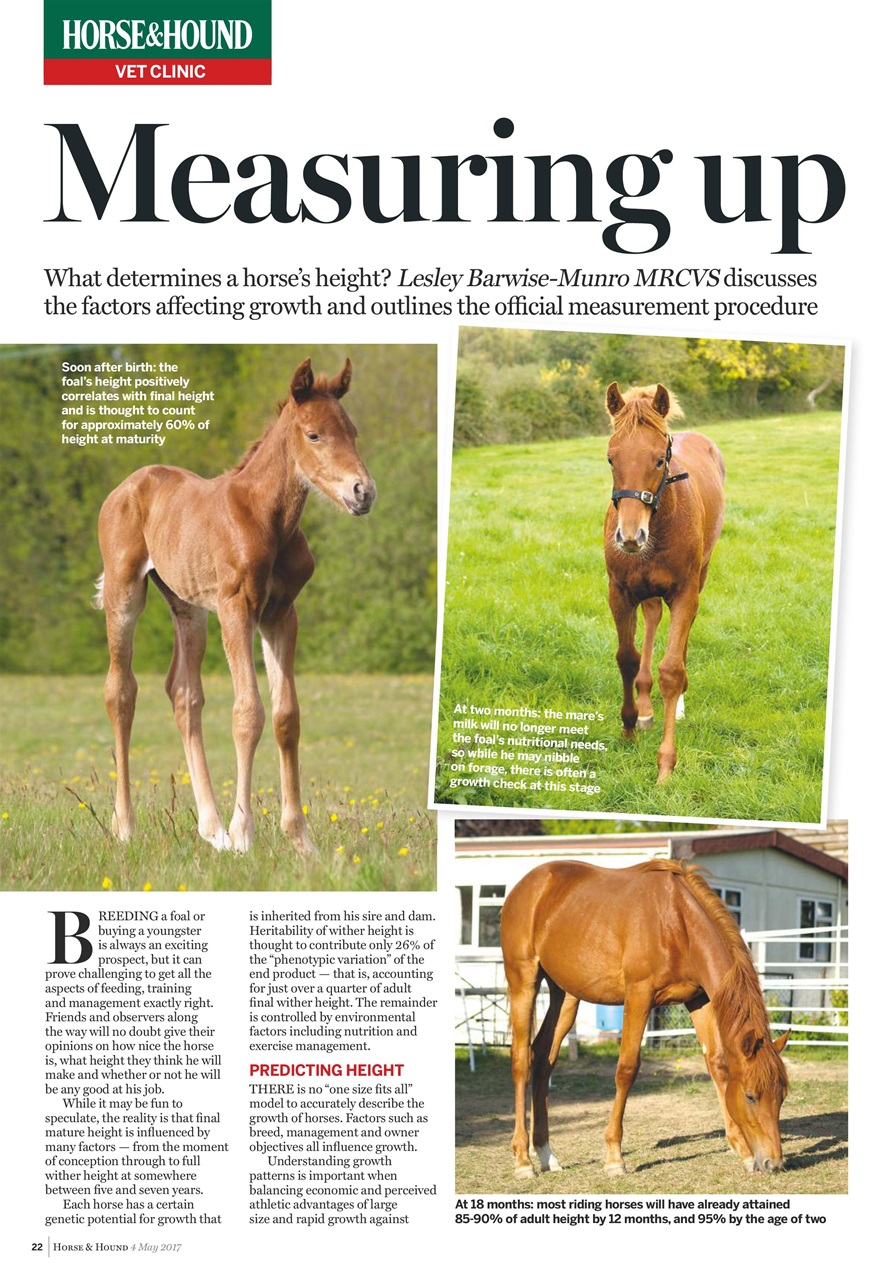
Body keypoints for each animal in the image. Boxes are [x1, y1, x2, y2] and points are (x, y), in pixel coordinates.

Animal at [94, 357, 375, 855]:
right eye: (314, 435)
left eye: (353, 431)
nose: (363, 492)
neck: (268, 519)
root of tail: (129, 484)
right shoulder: (236, 608)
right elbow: (248, 713)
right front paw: (245, 834)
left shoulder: (281, 614)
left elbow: (286, 715)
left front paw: (300, 839)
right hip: (125, 592)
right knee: (121, 691)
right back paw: (125, 826)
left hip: (188, 606)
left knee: (184, 694)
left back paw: (212, 829)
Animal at [500, 859, 790, 1179]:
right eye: (751, 1096)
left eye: (782, 1095)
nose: (773, 1163)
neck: (678, 922)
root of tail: (526, 886)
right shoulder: (639, 995)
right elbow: (627, 1069)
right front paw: (614, 1157)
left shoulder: (699, 1000)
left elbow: (718, 1065)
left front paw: (743, 1151)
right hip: (523, 981)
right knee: (520, 1061)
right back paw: (523, 1160)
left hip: (565, 996)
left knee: (542, 1058)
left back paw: (546, 1154)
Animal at [604, 383, 725, 782]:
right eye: (611, 459)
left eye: (659, 460)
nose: (630, 536)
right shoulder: (619, 592)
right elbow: (627, 657)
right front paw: (629, 726)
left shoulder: (685, 592)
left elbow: (671, 670)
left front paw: (665, 766)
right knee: (653, 616)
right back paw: (644, 707)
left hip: (700, 576)